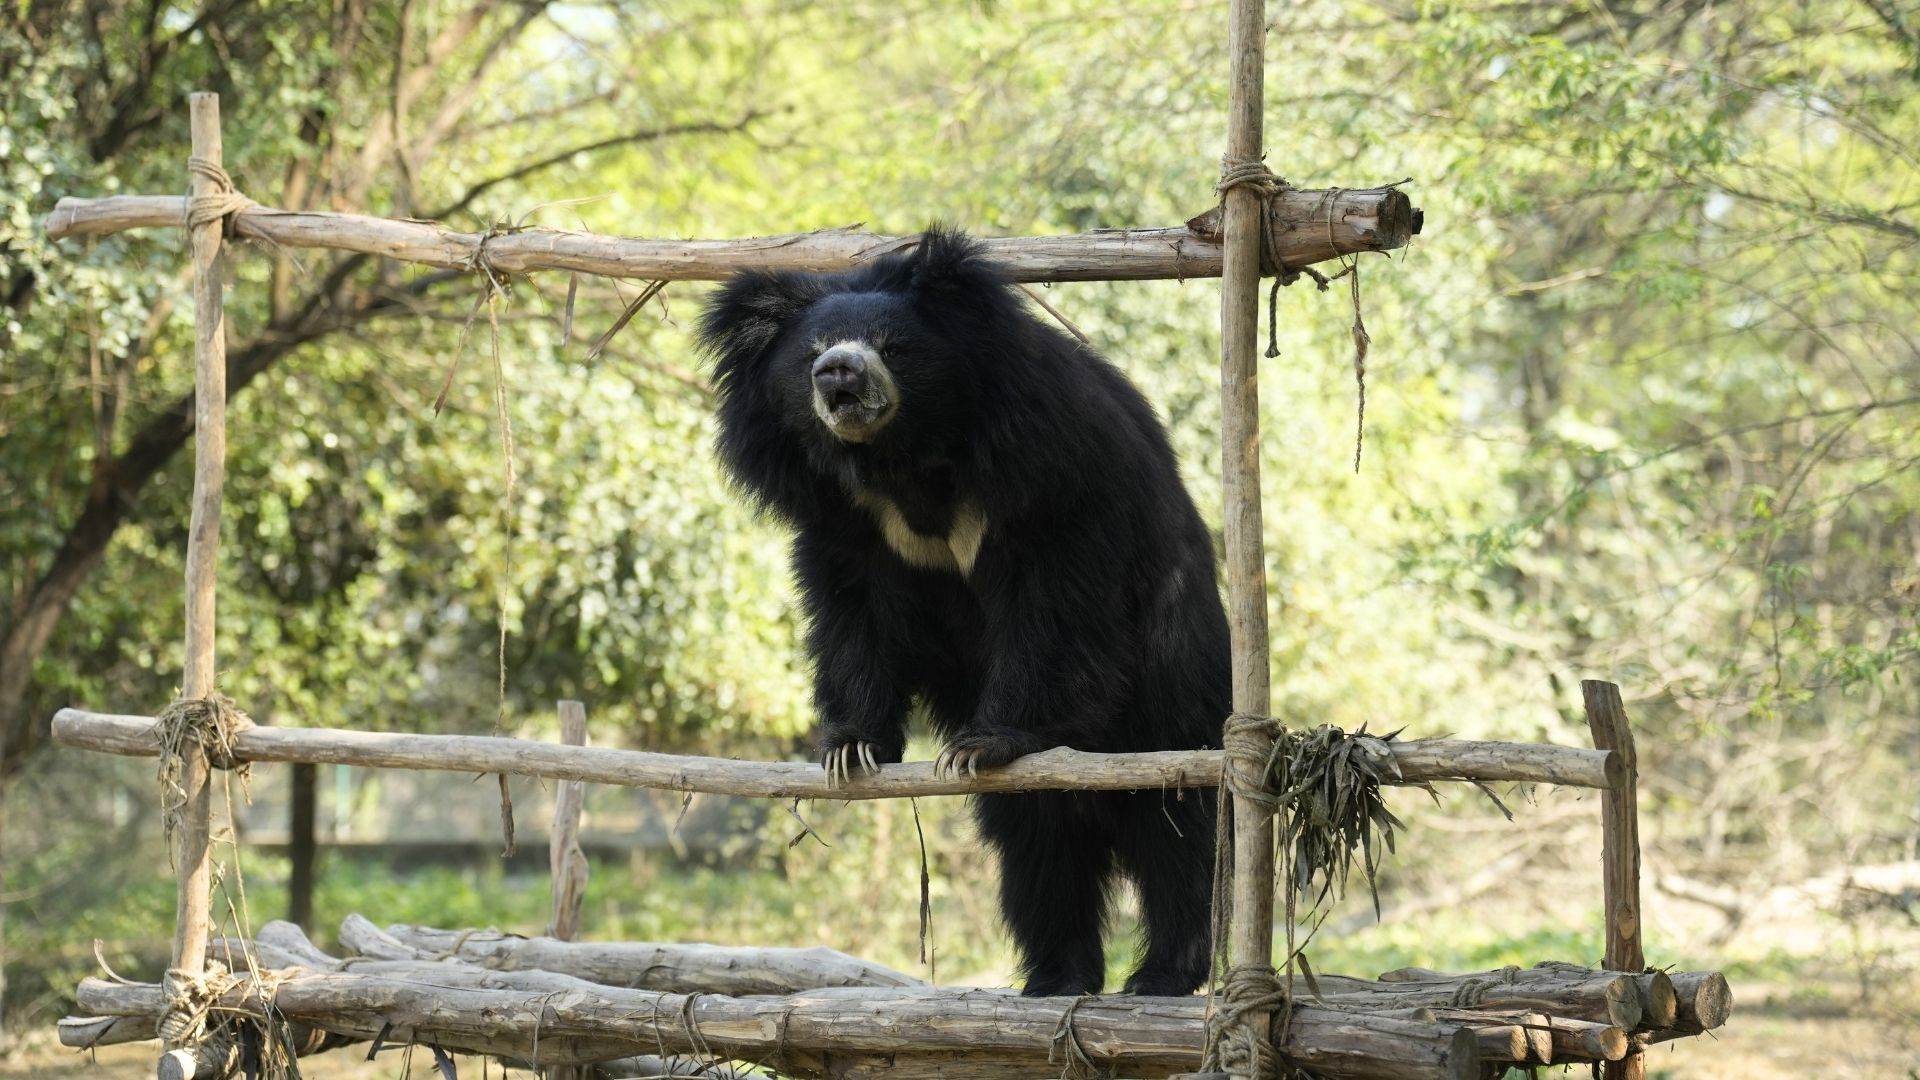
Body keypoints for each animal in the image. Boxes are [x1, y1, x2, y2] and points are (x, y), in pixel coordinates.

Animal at [697, 228, 1229, 997]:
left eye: (891, 346)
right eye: (810, 352)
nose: (836, 374)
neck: (905, 458)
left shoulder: (1050, 474)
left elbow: (1053, 608)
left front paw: (984, 742)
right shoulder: (845, 521)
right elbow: (857, 616)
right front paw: (850, 748)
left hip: (1175, 673)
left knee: (1173, 821)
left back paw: (1163, 974)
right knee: (1037, 842)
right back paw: (1057, 976)